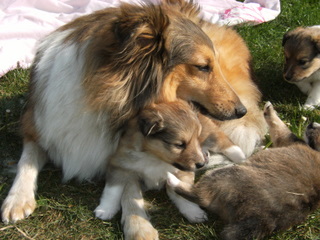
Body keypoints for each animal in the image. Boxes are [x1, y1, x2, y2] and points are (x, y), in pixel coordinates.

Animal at [95, 100, 245, 240]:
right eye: (179, 145)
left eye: (196, 140)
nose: (200, 164)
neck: (154, 157)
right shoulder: (120, 165)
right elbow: (112, 190)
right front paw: (105, 209)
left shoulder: (183, 171)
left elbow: (181, 192)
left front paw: (194, 212)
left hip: (210, 134)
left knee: (226, 142)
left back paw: (241, 159)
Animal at [168, 101, 320, 240]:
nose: (312, 123)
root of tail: (260, 219)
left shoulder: (288, 138)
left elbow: (280, 126)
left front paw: (269, 110)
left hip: (223, 175)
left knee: (198, 194)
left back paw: (172, 179)